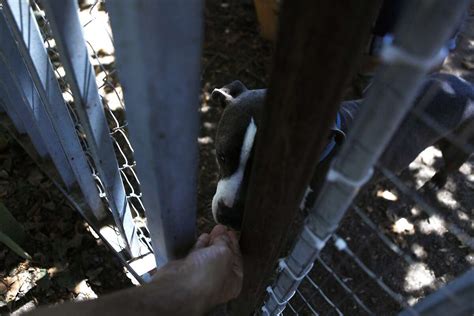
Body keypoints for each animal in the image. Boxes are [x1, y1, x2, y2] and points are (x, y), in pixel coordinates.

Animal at [211, 73, 474, 228]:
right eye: (221, 156)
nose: (229, 216)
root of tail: (466, 84)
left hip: (457, 147)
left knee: (450, 166)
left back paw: (434, 184)